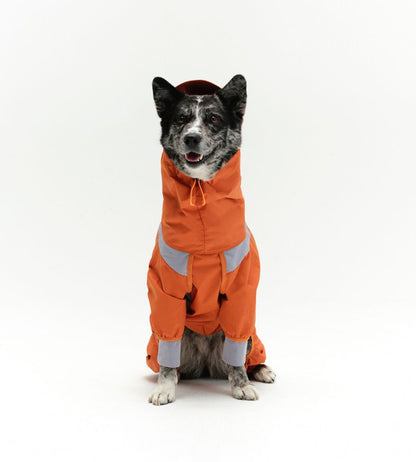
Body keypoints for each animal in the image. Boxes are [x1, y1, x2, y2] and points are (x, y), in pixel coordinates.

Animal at [146, 75, 275, 405]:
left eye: (214, 118)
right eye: (181, 119)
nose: (192, 138)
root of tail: (206, 363)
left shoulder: (242, 292)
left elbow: (236, 351)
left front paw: (241, 385)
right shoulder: (166, 293)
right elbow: (167, 351)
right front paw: (165, 387)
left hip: (251, 334)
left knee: (245, 353)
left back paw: (261, 370)